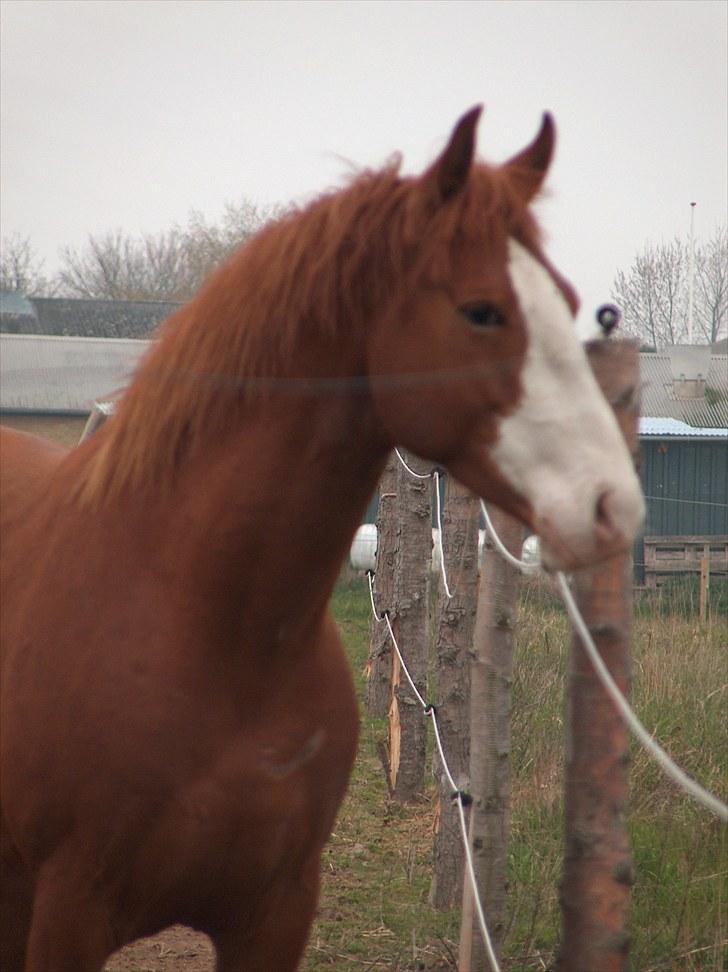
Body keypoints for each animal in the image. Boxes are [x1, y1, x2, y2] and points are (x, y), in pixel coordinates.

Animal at [0, 108, 644, 972]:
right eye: (482, 310)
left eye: (568, 300)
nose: (612, 505)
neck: (207, 634)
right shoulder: (68, 916)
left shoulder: (275, 913)